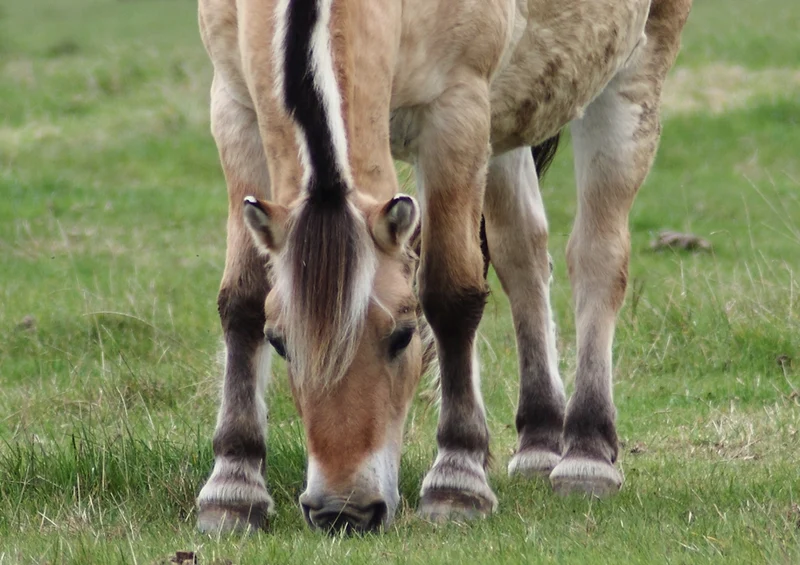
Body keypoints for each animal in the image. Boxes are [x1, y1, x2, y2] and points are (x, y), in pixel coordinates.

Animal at [194, 0, 692, 533]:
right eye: (280, 343)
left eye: (402, 336)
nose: (343, 511)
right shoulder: (235, 109)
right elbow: (242, 300)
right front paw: (233, 487)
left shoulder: (457, 112)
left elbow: (451, 296)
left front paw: (458, 479)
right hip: (506, 123)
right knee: (522, 253)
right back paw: (539, 442)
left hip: (631, 78)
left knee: (597, 258)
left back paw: (588, 454)